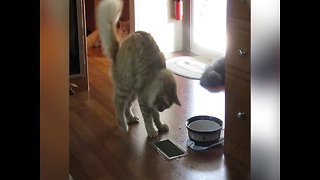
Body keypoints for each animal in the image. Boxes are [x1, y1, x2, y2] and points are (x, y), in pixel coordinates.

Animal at [96, 0, 181, 138]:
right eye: (163, 106)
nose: (161, 109)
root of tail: (117, 53)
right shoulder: (145, 100)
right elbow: (149, 120)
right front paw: (152, 131)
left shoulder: (149, 102)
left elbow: (156, 117)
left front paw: (160, 126)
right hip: (126, 87)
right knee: (118, 104)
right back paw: (123, 125)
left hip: (132, 93)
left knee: (127, 107)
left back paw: (131, 119)